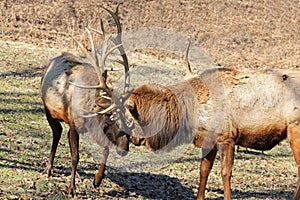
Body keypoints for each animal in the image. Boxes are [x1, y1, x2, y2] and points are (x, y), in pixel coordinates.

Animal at [40, 6, 130, 197]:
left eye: (128, 121)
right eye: (112, 122)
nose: (124, 149)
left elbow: (105, 149)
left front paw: (97, 180)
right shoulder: (75, 123)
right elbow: (76, 156)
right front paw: (71, 189)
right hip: (48, 109)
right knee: (57, 132)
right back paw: (48, 169)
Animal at [126, 42, 300, 198]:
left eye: (134, 113)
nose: (135, 138)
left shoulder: (227, 138)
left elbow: (225, 173)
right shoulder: (209, 140)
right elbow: (204, 170)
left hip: (294, 131)